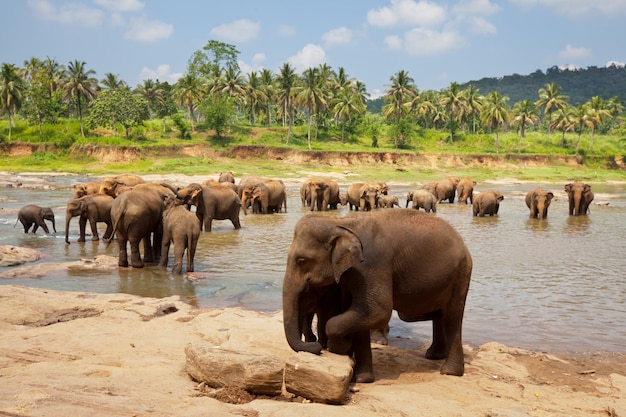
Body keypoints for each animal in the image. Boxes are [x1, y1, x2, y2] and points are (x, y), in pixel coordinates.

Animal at [280, 210, 470, 382]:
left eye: (302, 260)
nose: (316, 346)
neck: (341, 223)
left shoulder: (371, 265)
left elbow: (377, 310)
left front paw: (338, 347)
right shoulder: (352, 274)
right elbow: (360, 312)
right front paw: (362, 378)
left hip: (461, 274)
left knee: (453, 316)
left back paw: (450, 372)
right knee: (441, 315)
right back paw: (434, 355)